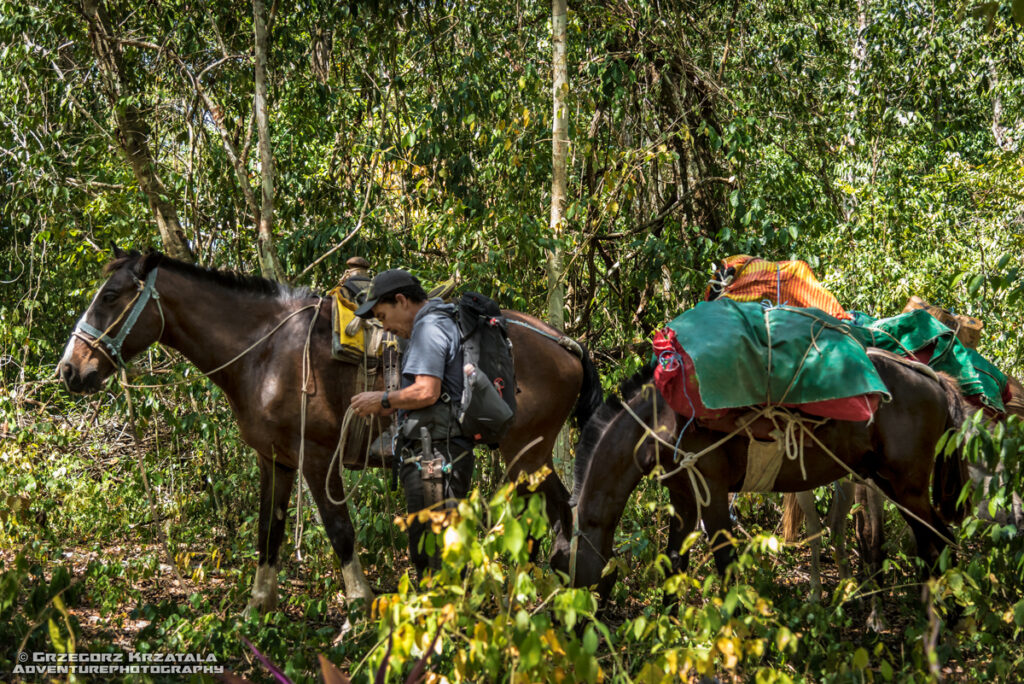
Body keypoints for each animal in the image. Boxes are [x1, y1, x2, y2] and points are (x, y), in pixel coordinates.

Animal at [58, 249, 598, 614]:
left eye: (110, 297)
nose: (69, 370)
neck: (265, 350)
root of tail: (566, 344)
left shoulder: (319, 457)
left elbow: (340, 530)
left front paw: (358, 602)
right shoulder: (274, 458)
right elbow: (269, 529)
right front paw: (259, 603)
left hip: (525, 454)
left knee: (552, 510)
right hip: (529, 456)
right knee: (555, 507)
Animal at [557, 348, 962, 602]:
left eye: (558, 566)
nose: (564, 623)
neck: (663, 419)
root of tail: (934, 379)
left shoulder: (713, 493)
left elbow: (724, 562)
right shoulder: (683, 497)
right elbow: (674, 561)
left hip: (907, 487)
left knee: (941, 539)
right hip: (887, 482)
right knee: (930, 543)